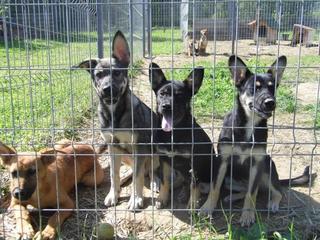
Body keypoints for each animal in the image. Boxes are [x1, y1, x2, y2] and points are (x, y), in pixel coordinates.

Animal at [76, 31, 159, 210]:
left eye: (116, 73)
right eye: (98, 75)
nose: (107, 89)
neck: (114, 112)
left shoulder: (139, 147)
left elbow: (138, 177)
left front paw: (136, 199)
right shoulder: (112, 147)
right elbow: (114, 175)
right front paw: (113, 195)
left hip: (155, 151)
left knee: (152, 170)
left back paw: (155, 181)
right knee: (136, 171)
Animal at [149, 62, 215, 209]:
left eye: (179, 96)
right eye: (162, 94)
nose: (166, 106)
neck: (174, 133)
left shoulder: (194, 161)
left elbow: (194, 184)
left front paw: (192, 204)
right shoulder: (164, 158)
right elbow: (164, 180)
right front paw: (163, 197)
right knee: (182, 180)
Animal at [200, 55, 316, 226]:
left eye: (272, 88)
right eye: (254, 89)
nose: (270, 102)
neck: (249, 125)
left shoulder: (257, 163)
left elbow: (252, 193)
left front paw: (248, 215)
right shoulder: (223, 160)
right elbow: (215, 188)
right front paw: (207, 208)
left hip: (267, 167)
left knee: (276, 191)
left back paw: (272, 203)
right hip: (231, 178)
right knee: (242, 189)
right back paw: (231, 196)